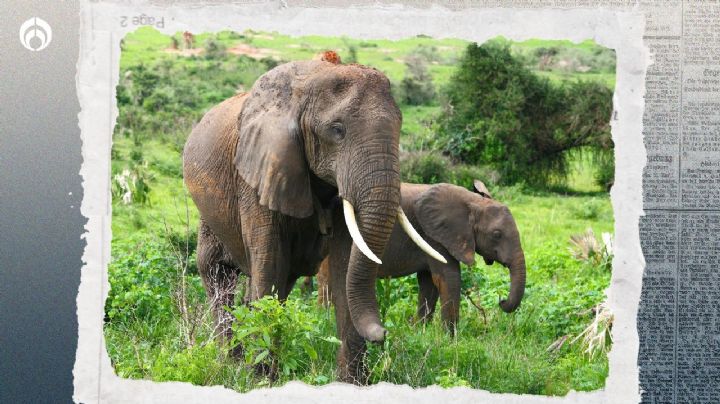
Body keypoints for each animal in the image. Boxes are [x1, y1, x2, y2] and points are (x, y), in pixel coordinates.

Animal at [183, 60, 444, 378]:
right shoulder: (258, 173)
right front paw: (260, 378)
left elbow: (344, 265)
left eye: (399, 126)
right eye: (337, 130)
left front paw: (352, 382)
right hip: (209, 215)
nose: (384, 334)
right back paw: (232, 362)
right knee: (218, 273)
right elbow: (269, 262)